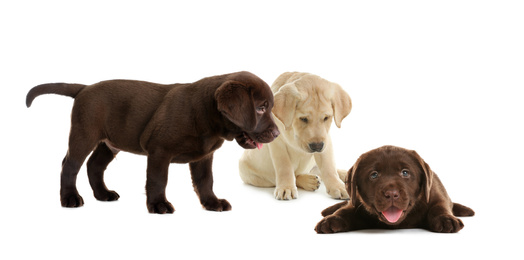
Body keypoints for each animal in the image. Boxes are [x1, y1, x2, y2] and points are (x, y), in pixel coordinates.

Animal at [241, 72, 352, 200]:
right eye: (303, 119)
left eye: (326, 118)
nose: (317, 147)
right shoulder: (277, 144)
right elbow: (285, 167)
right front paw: (286, 188)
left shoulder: (326, 140)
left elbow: (329, 166)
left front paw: (338, 186)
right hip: (253, 175)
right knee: (290, 176)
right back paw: (309, 181)